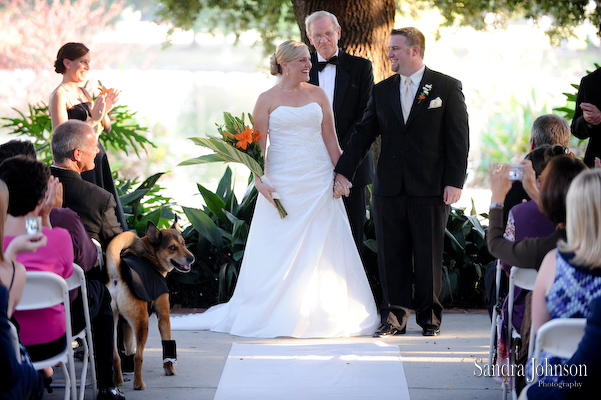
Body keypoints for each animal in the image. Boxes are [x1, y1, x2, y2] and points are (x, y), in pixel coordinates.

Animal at [105, 217, 193, 390]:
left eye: (184, 243)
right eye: (172, 248)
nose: (192, 258)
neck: (150, 258)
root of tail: (118, 274)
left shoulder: (125, 324)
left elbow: (128, 347)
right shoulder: (163, 315)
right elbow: (166, 343)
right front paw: (169, 369)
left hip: (112, 323)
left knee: (115, 356)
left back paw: (118, 382)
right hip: (142, 323)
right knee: (138, 357)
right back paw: (138, 384)